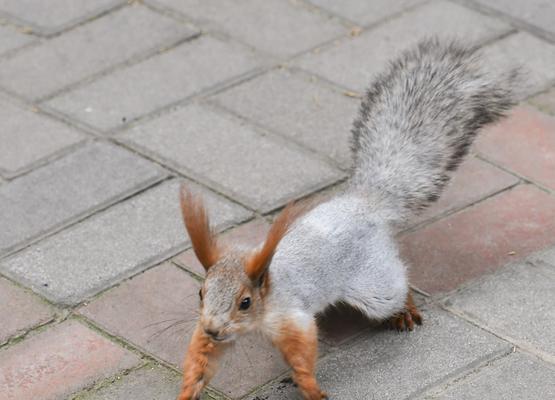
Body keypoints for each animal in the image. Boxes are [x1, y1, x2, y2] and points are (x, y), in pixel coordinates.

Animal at [177, 39, 516, 400]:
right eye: (201, 293)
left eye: (245, 302)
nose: (212, 328)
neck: (264, 300)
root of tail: (365, 202)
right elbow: (202, 359)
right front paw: (190, 387)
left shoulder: (291, 315)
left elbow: (301, 354)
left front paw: (311, 388)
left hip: (376, 284)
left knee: (397, 286)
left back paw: (403, 310)